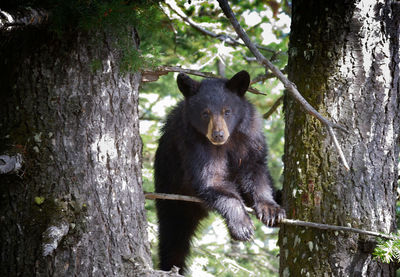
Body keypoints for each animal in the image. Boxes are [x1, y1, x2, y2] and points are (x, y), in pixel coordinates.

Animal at [155, 70, 286, 272]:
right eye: (205, 113)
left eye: (227, 111)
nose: (218, 135)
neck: (227, 142)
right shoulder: (194, 144)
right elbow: (212, 181)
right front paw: (242, 225)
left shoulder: (250, 138)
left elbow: (255, 172)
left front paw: (271, 210)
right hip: (170, 191)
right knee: (173, 236)